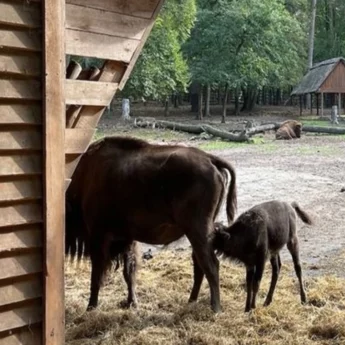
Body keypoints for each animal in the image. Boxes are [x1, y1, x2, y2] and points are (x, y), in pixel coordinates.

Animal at [64, 135, 236, 312]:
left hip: (197, 230)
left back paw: (215, 308)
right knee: (199, 264)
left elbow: (97, 274)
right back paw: (191, 301)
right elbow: (129, 272)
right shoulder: (127, 238)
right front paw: (131, 302)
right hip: (197, 232)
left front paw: (91, 306)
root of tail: (210, 159)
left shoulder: (98, 236)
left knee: (211, 265)